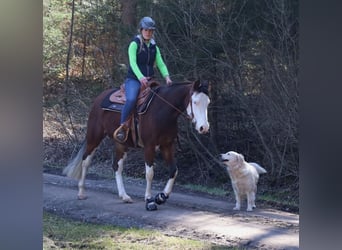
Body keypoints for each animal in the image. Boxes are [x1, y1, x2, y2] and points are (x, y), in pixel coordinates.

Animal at [62, 79, 210, 210]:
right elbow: (150, 173)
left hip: (121, 144)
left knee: (117, 166)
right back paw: (81, 192)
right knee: (85, 161)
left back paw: (124, 196)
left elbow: (174, 171)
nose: (204, 128)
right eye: (195, 102)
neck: (163, 111)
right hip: (94, 137)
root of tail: (99, 97)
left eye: (208, 102)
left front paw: (161, 197)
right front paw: (149, 201)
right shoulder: (149, 146)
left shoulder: (167, 145)